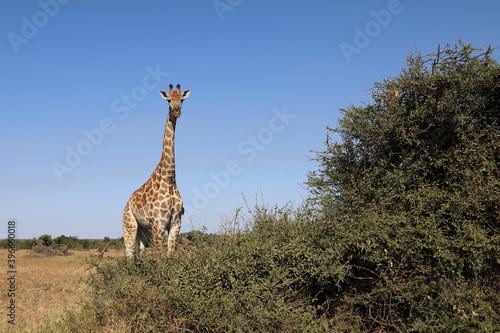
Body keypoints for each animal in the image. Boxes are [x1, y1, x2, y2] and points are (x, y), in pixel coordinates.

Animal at [122, 84, 190, 258]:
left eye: (182, 99)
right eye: (168, 100)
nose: (177, 111)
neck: (169, 179)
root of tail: (127, 203)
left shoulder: (175, 223)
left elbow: (170, 255)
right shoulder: (159, 224)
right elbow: (159, 258)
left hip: (144, 230)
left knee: (139, 252)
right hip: (129, 226)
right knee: (129, 255)